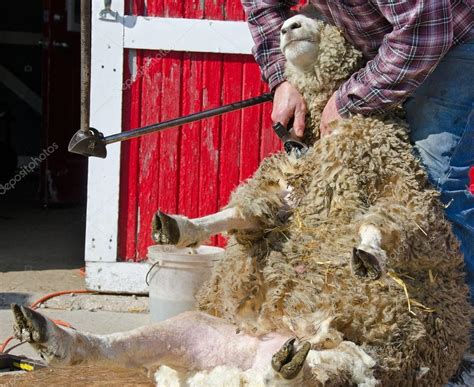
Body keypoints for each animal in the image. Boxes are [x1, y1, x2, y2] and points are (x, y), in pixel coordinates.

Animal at [10, 9, 470, 387]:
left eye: (329, 22)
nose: (288, 26)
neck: (318, 142)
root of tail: (247, 362)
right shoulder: (279, 195)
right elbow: (239, 214)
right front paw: (179, 228)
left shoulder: (405, 192)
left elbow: (384, 222)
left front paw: (368, 253)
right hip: (194, 329)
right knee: (114, 347)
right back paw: (45, 333)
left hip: (369, 358)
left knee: (319, 373)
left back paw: (287, 367)